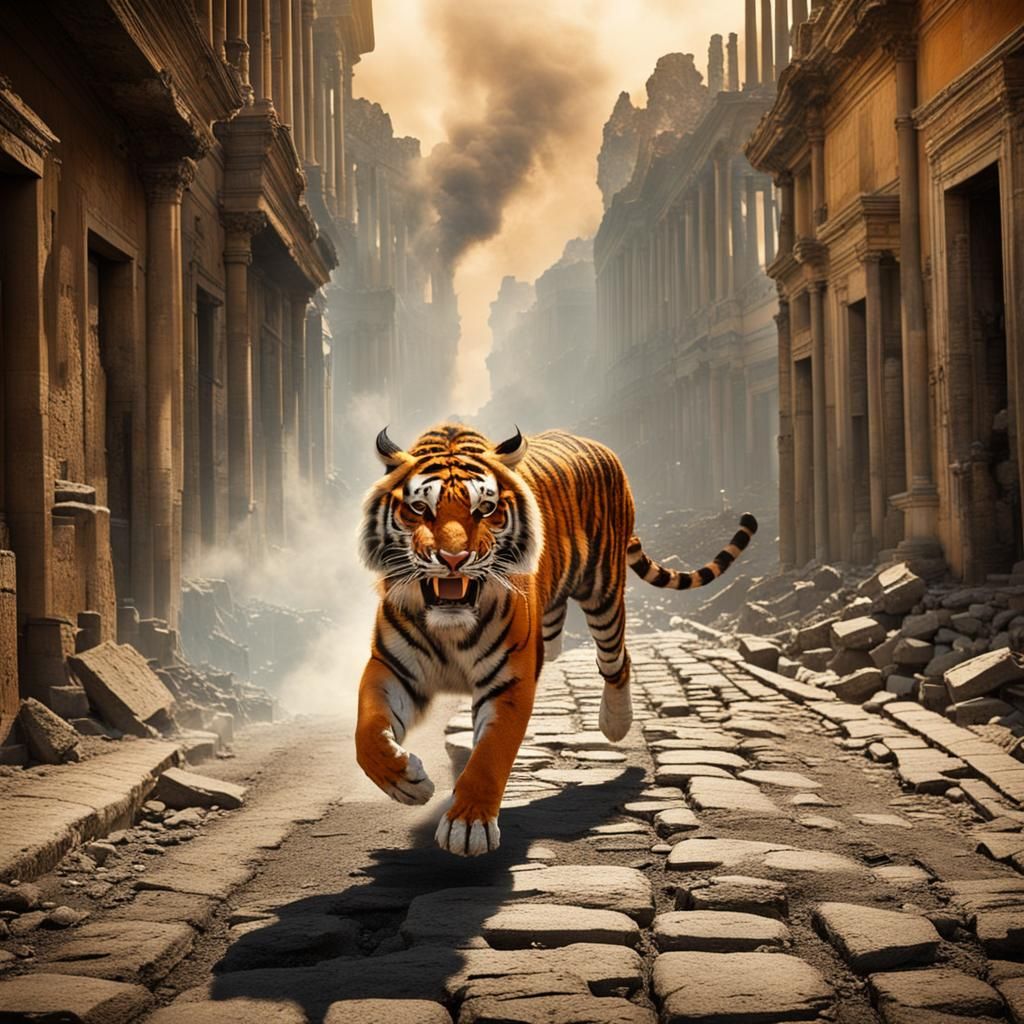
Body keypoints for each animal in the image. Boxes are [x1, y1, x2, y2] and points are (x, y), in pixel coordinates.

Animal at [356, 423, 757, 856]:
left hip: (603, 593)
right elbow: (368, 733)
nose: (453, 559)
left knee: (617, 660)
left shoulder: (508, 682)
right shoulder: (391, 667)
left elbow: (489, 757)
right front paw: (407, 782)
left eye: (485, 509)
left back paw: (616, 722)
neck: (451, 624)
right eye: (419, 509)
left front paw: (468, 826)